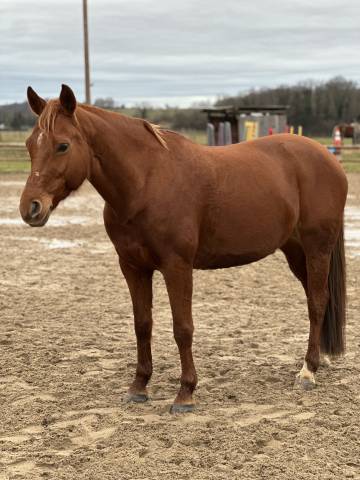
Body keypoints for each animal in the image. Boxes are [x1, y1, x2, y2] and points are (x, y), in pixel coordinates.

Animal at [20, 85, 348, 412]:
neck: (147, 182)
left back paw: (307, 371)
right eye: (29, 145)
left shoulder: (177, 266)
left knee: (317, 302)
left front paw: (185, 393)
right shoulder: (133, 267)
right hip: (296, 252)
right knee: (317, 299)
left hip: (317, 249)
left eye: (62, 146)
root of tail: (328, 159)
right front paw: (139, 386)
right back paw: (320, 360)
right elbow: (142, 324)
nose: (30, 208)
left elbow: (182, 328)